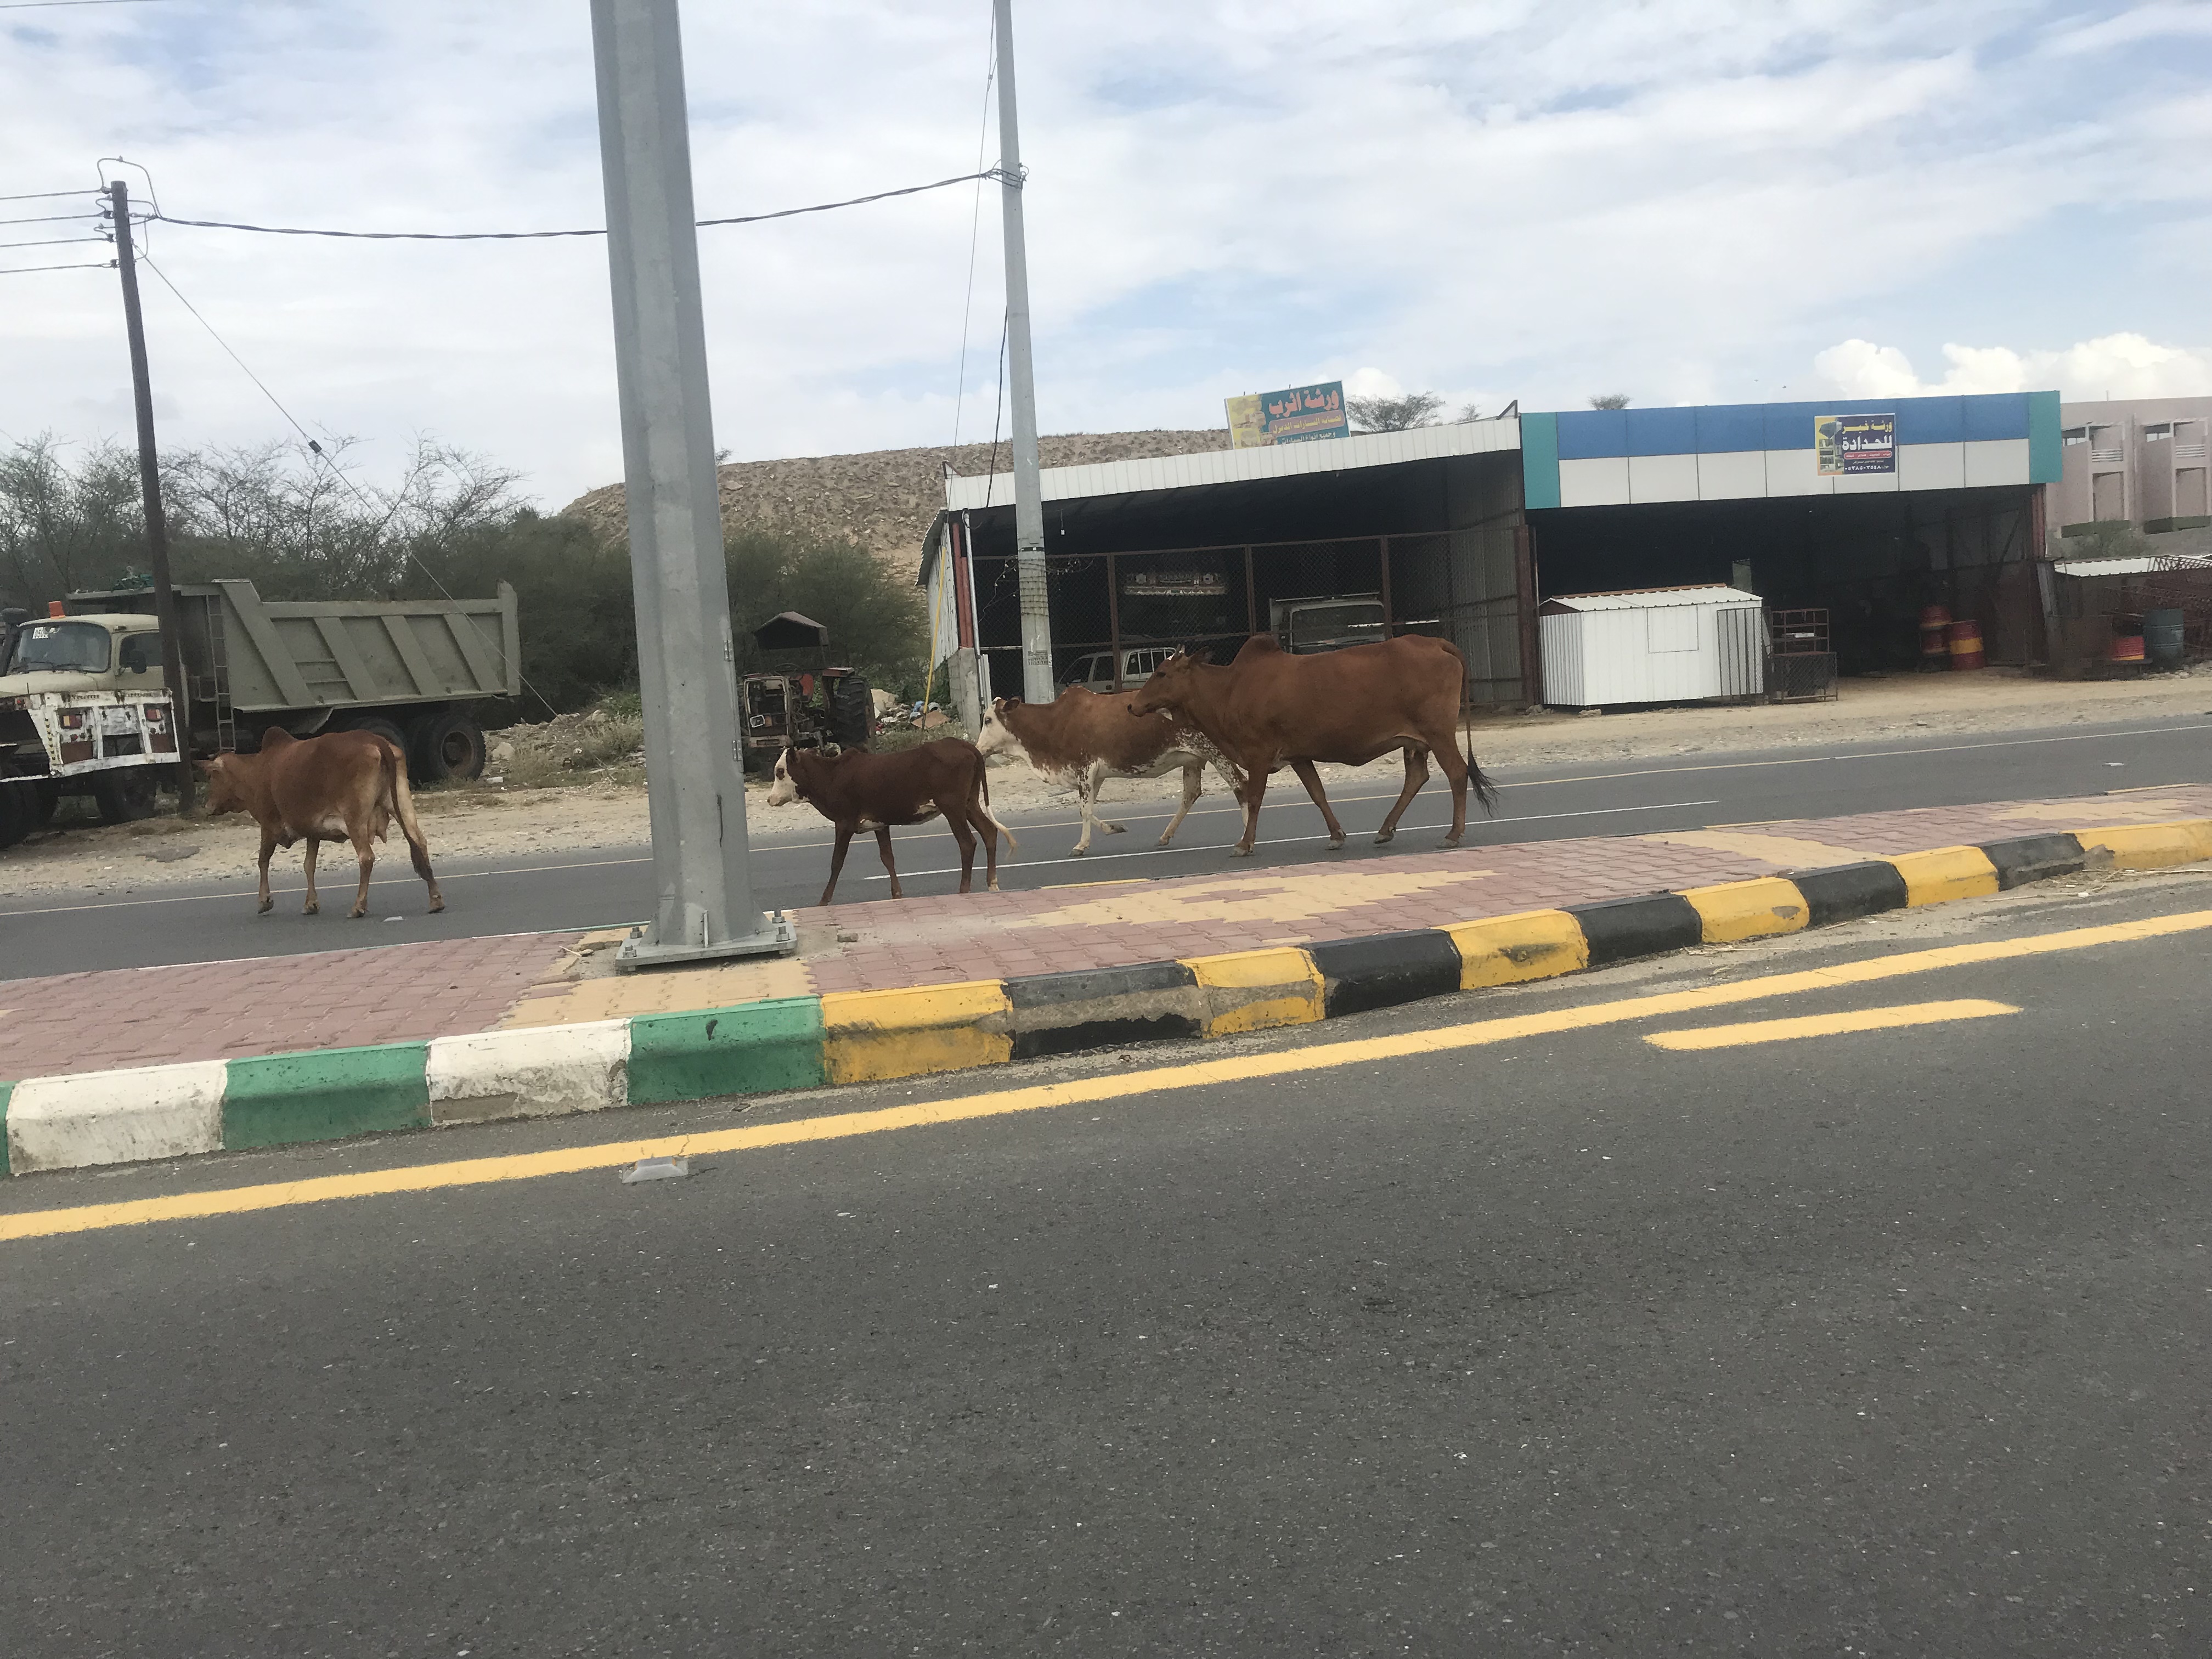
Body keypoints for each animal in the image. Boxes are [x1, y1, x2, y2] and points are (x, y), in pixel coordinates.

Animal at [199, 730, 444, 924]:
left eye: (212, 776)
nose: (208, 807)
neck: (256, 771)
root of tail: (375, 739)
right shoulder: (312, 832)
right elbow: (309, 865)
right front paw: (311, 904)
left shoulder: (269, 826)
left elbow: (263, 861)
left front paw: (264, 901)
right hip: (400, 802)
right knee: (419, 842)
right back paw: (435, 901)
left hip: (355, 818)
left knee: (366, 857)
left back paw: (358, 907)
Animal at [765, 738, 1022, 911]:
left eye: (780, 772)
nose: (770, 799)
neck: (831, 775)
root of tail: (964, 745)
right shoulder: (881, 824)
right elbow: (888, 858)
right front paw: (897, 894)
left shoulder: (844, 824)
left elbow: (836, 863)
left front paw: (823, 900)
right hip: (969, 803)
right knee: (989, 832)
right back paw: (992, 883)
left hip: (953, 807)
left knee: (967, 843)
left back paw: (964, 890)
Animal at [973, 690, 1238, 858]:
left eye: (988, 720)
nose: (978, 749)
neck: (1054, 724)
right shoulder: (1095, 776)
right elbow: (1086, 810)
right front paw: (1112, 829)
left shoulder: (1085, 769)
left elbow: (1085, 810)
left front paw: (1082, 845)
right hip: (1194, 759)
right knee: (1191, 793)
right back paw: (1165, 836)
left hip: (1219, 753)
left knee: (1239, 784)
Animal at [1124, 637, 1504, 862]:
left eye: (1161, 673)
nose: (1132, 706)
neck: (1229, 689)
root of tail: (1435, 642)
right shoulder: (1299, 755)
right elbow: (1317, 793)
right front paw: (1336, 836)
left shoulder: (1259, 755)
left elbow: (1255, 798)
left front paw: (1245, 844)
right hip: (1415, 742)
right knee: (1417, 777)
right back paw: (1385, 830)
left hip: (1439, 733)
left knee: (1456, 773)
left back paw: (1453, 834)